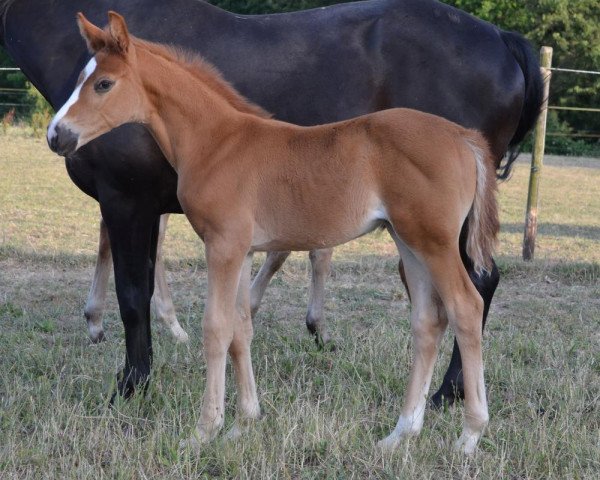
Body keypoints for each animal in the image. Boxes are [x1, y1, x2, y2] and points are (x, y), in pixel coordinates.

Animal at [0, 0, 540, 404]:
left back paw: (449, 394)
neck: (217, 134)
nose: (56, 136)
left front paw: (130, 386)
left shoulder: (127, 198)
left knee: (473, 289)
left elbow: (133, 293)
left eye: (103, 84)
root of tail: (503, 39)